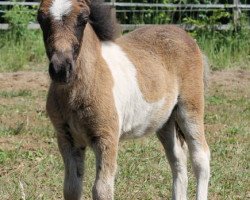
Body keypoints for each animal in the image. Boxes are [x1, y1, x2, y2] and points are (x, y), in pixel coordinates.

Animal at [38, 0, 211, 200]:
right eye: (41, 19)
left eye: (83, 19)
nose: (61, 69)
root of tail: (186, 35)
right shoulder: (67, 139)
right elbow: (71, 188)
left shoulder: (107, 138)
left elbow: (102, 190)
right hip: (165, 121)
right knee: (178, 161)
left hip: (190, 108)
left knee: (201, 158)